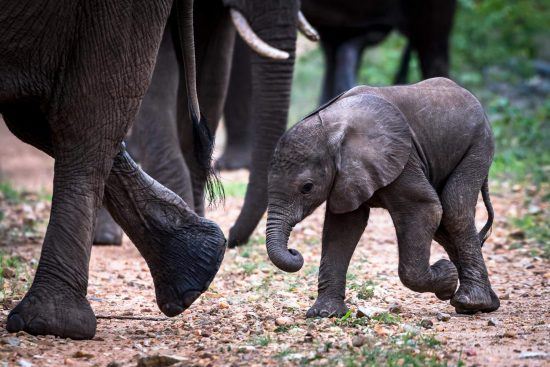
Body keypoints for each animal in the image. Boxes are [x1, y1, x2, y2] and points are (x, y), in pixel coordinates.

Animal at [266, 78, 502, 320]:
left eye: (307, 188)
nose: (294, 252)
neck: (331, 127)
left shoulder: (403, 158)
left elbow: (424, 208)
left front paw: (446, 277)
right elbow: (343, 227)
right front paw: (325, 314)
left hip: (478, 145)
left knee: (454, 210)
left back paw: (470, 302)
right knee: (443, 225)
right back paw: (485, 304)